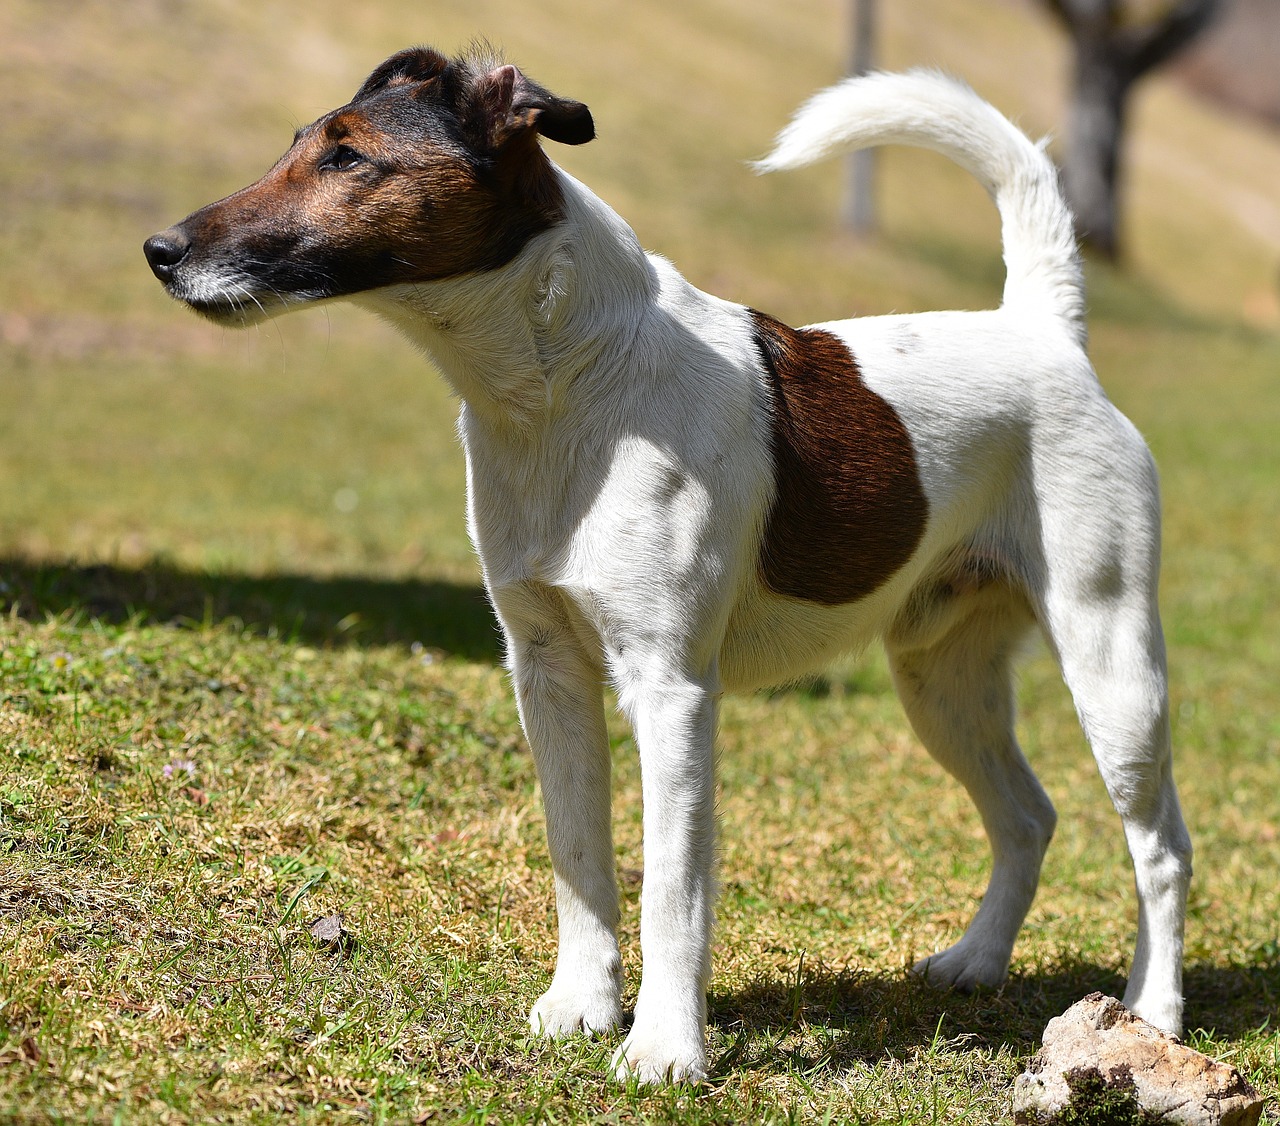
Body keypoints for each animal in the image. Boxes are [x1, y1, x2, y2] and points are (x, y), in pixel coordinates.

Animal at [145, 48, 1192, 1085]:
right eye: (296, 145)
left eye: (348, 156)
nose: (159, 250)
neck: (565, 383)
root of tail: (1043, 329)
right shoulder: (546, 671)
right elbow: (579, 856)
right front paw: (580, 1006)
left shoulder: (672, 690)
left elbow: (673, 888)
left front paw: (663, 1048)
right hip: (942, 679)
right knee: (1027, 816)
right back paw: (976, 962)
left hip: (1112, 665)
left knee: (1162, 848)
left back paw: (1153, 1012)